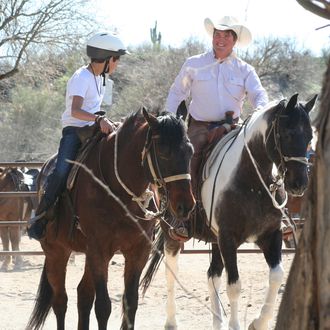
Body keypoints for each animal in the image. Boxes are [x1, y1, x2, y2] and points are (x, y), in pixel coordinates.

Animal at [27, 109, 196, 330]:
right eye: (162, 151)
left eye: (190, 151)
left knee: (83, 294)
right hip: (56, 251)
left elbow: (130, 303)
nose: (186, 205)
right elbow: (103, 306)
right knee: (60, 301)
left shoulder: (138, 250)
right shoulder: (99, 249)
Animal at [142, 94, 318, 330]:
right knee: (172, 272)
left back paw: (218, 321)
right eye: (288, 133)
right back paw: (171, 321)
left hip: (215, 240)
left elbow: (276, 276)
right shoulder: (228, 239)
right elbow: (234, 285)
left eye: (309, 136)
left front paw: (258, 322)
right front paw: (236, 324)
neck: (251, 181)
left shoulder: (271, 235)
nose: (299, 183)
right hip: (174, 235)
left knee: (212, 276)